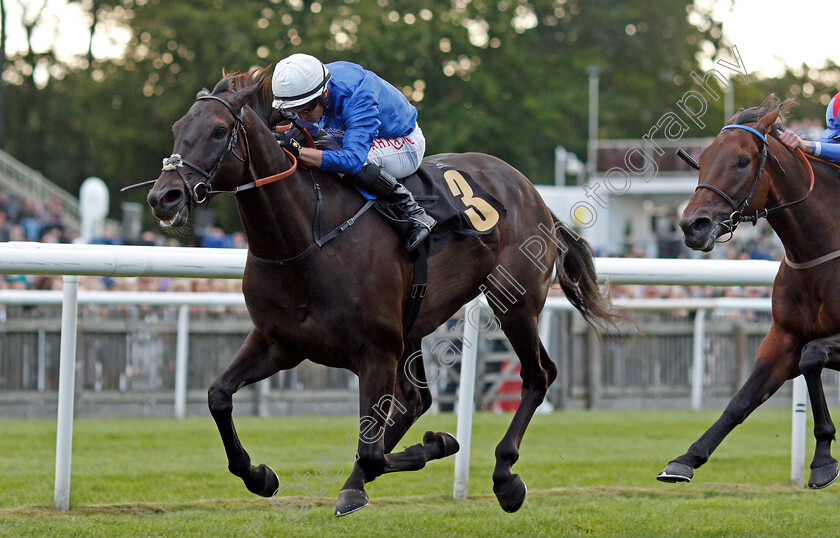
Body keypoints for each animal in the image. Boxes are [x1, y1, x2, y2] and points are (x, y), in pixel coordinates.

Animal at [144, 65, 616, 512]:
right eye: (177, 127)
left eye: (219, 130)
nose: (163, 197)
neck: (305, 238)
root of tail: (533, 193)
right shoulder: (279, 341)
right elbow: (218, 396)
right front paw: (259, 475)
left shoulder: (375, 350)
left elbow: (371, 451)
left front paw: (431, 447)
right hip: (414, 325)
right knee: (418, 400)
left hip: (515, 303)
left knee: (538, 375)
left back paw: (504, 476)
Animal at [660, 95, 840, 486]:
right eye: (703, 158)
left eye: (742, 161)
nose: (692, 226)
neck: (819, 253)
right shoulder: (783, 338)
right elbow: (741, 401)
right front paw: (685, 459)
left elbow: (812, 356)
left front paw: (822, 458)